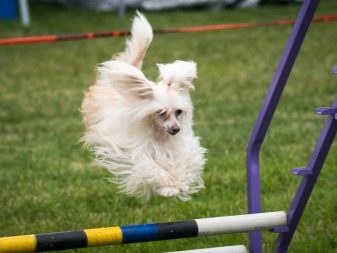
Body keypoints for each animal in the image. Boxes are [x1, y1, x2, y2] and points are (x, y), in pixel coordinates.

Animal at [81, 12, 206, 201]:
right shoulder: (137, 153)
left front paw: (178, 184)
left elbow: (181, 164)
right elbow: (150, 169)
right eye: (161, 112)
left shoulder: (179, 150)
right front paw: (168, 187)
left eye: (178, 111)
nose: (176, 129)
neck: (160, 136)